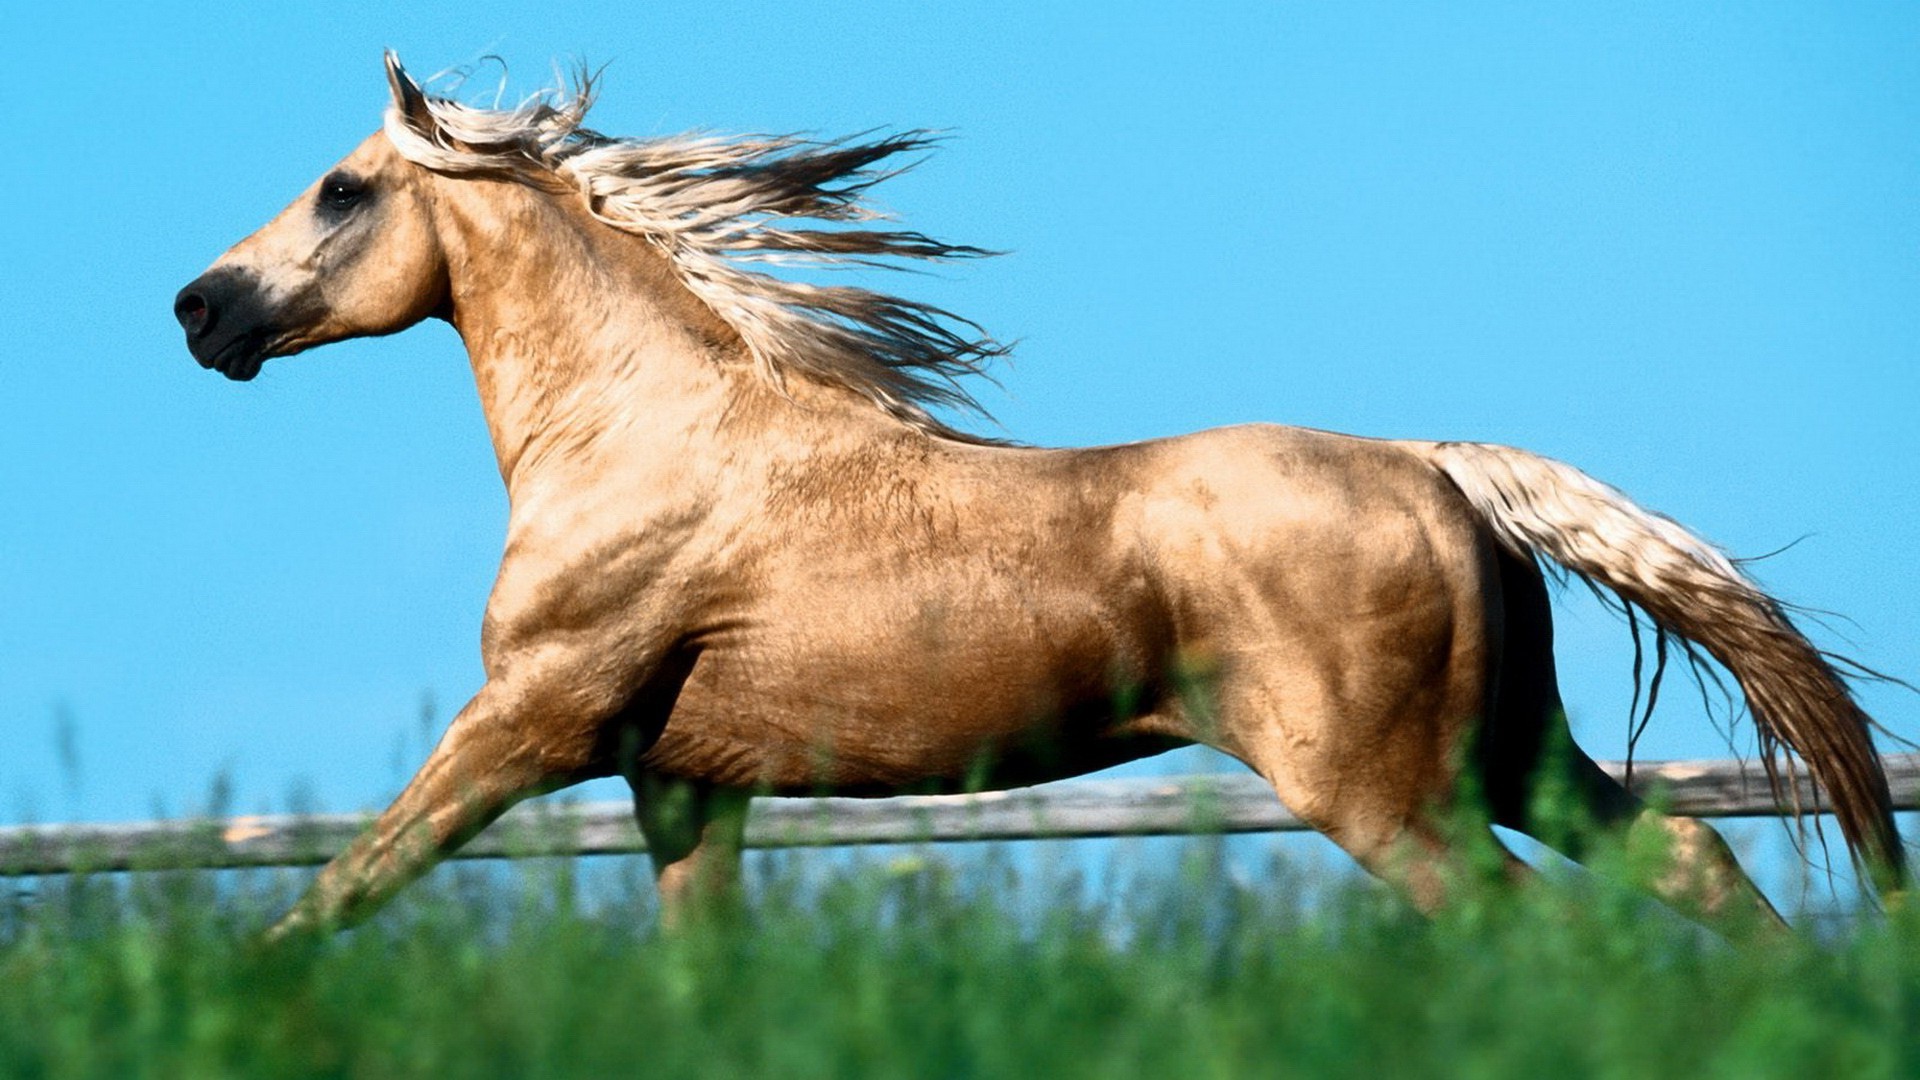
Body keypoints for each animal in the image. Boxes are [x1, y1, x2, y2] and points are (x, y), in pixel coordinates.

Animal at [176, 56, 1904, 933]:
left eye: (341, 190)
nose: (199, 310)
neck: (652, 440)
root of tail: (1438, 465)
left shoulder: (528, 728)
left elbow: (328, 899)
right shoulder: (683, 787)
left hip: (1383, 791)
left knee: (1526, 925)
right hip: (1514, 755)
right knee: (1694, 864)